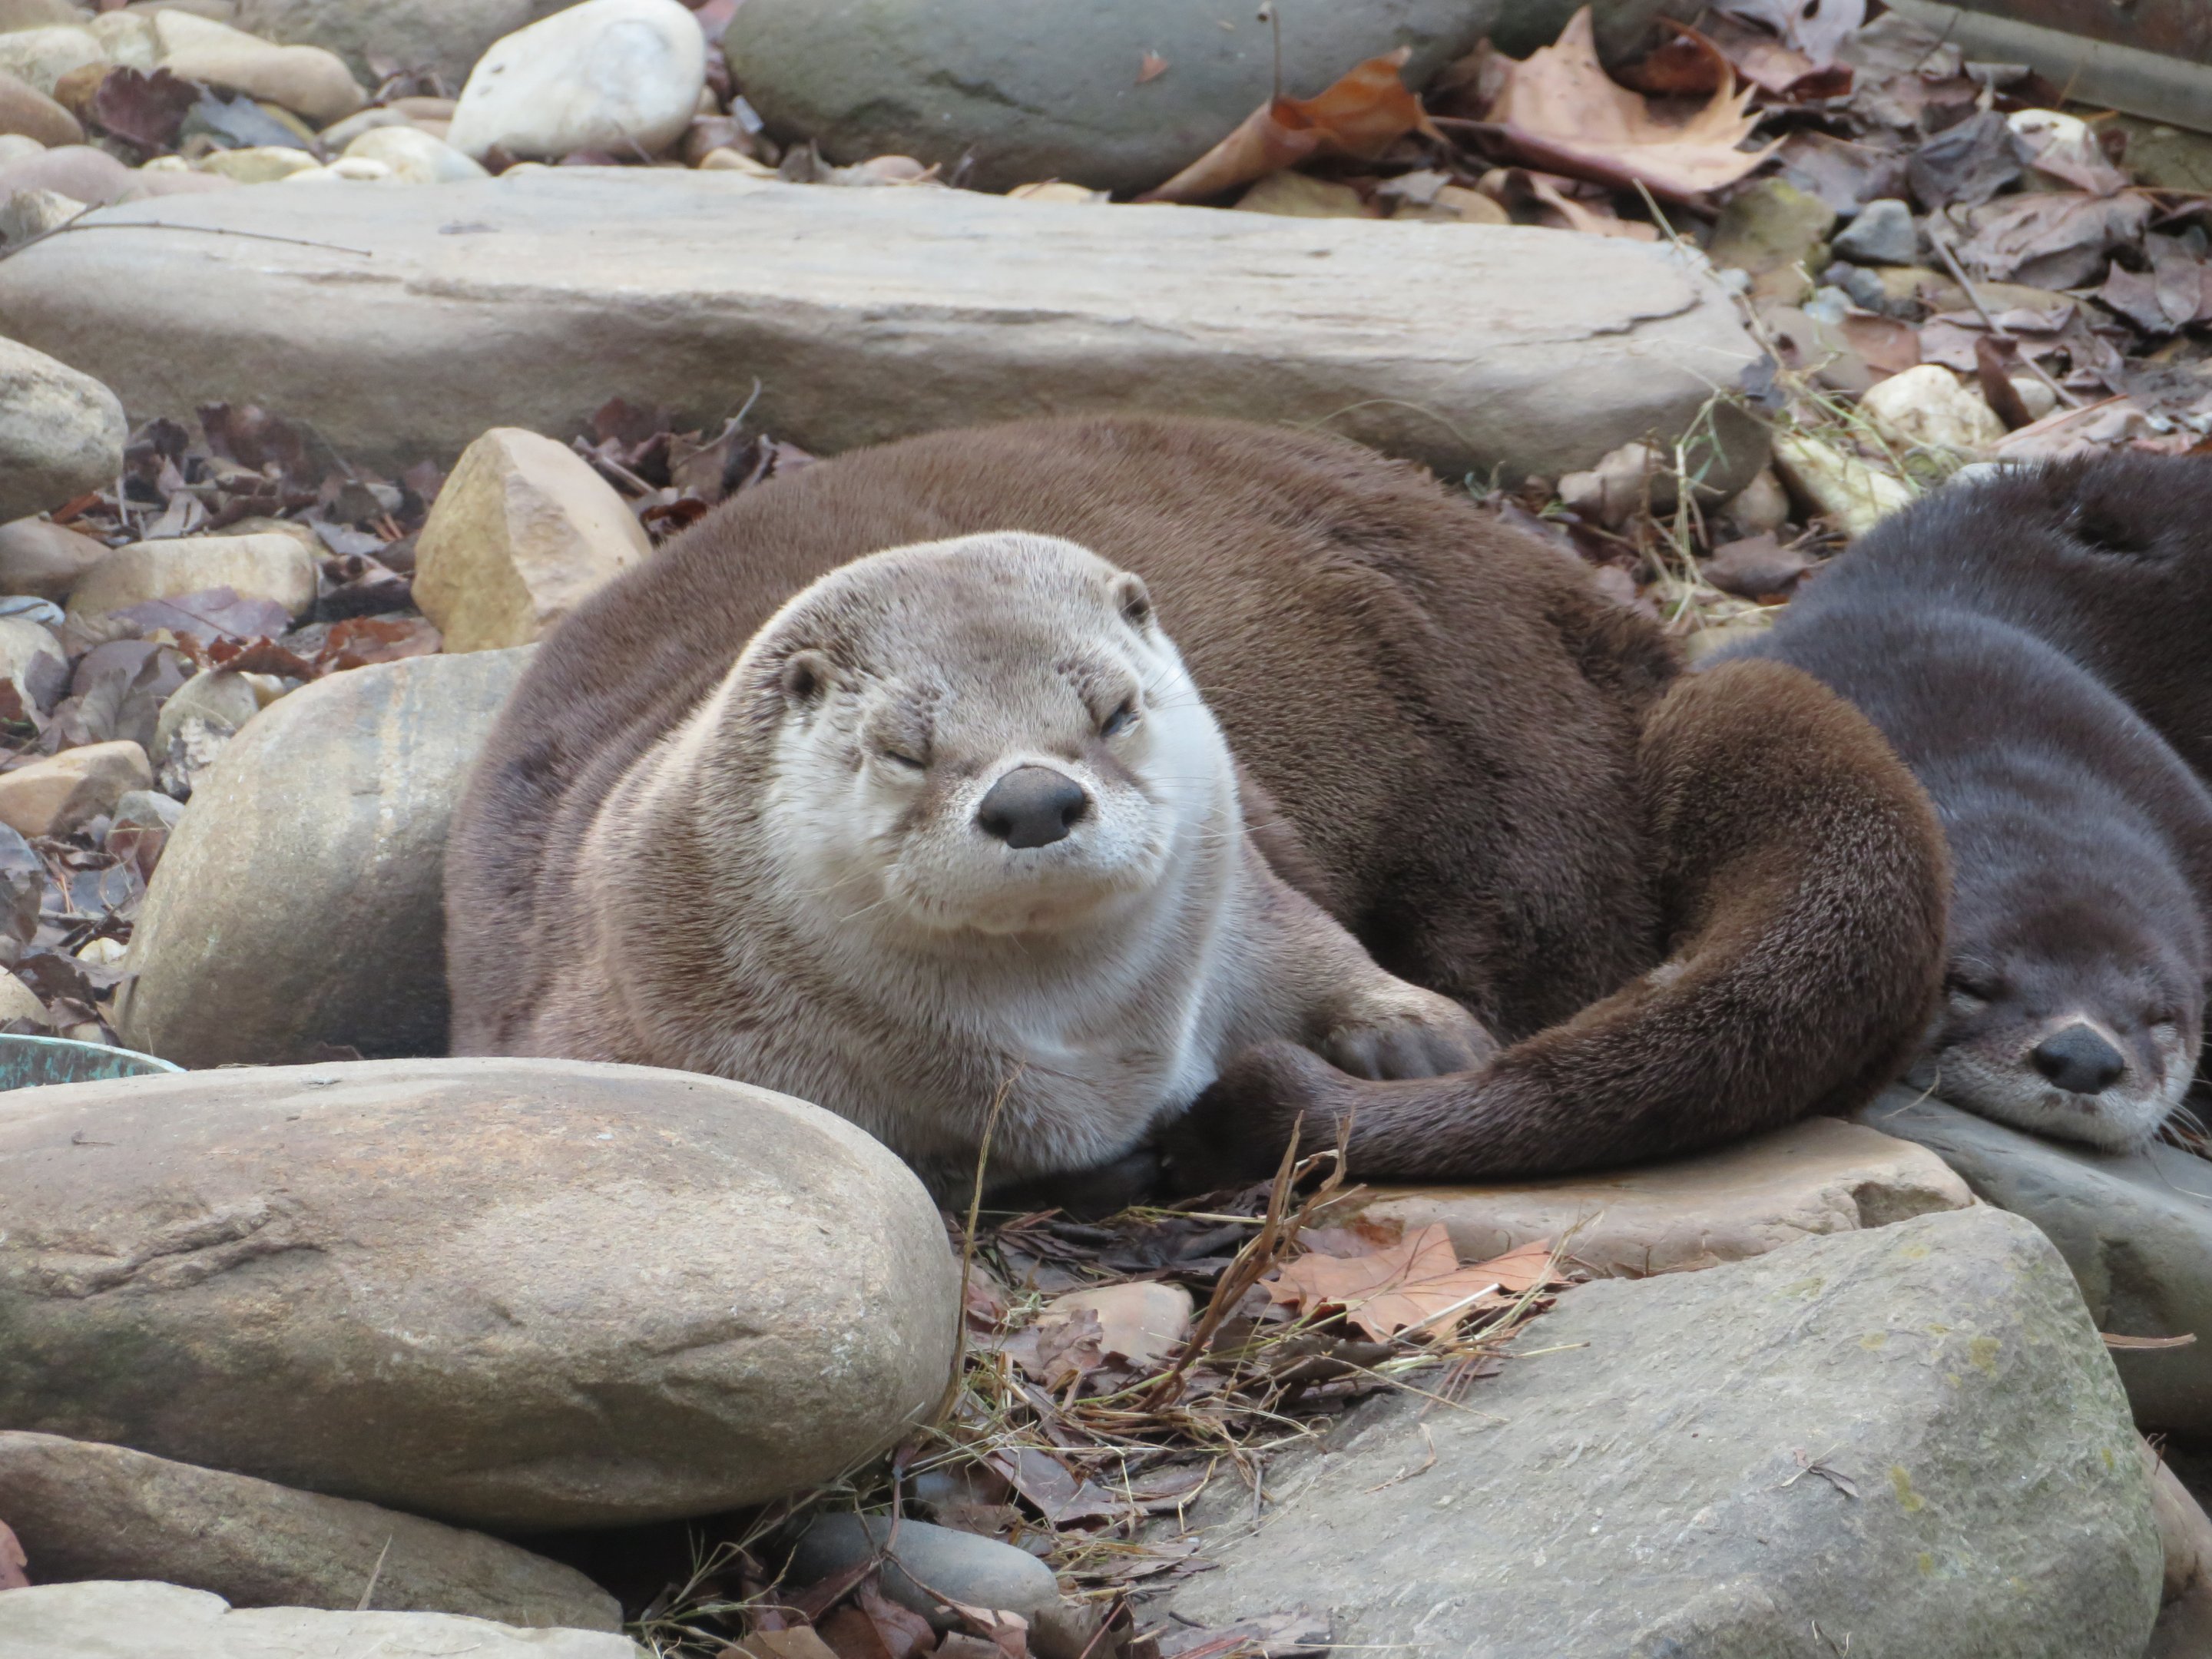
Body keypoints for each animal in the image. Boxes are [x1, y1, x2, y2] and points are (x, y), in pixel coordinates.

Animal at [448, 416, 1947, 1192]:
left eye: (1110, 711)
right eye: (908, 747)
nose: (1033, 798)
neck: (1077, 1065)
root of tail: (1607, 630)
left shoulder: (1249, 905)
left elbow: (1315, 949)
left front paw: (1411, 1033)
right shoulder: (619, 1028)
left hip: (1501, 751)